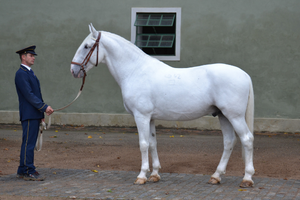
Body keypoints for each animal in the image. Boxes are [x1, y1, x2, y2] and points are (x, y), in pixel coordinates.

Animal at [71, 23, 255, 188]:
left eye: (87, 46)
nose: (73, 70)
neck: (135, 71)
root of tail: (244, 74)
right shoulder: (150, 118)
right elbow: (152, 143)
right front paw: (154, 175)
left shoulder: (141, 116)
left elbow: (143, 144)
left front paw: (141, 176)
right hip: (223, 116)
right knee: (229, 142)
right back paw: (216, 177)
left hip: (234, 116)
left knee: (246, 139)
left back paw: (247, 178)